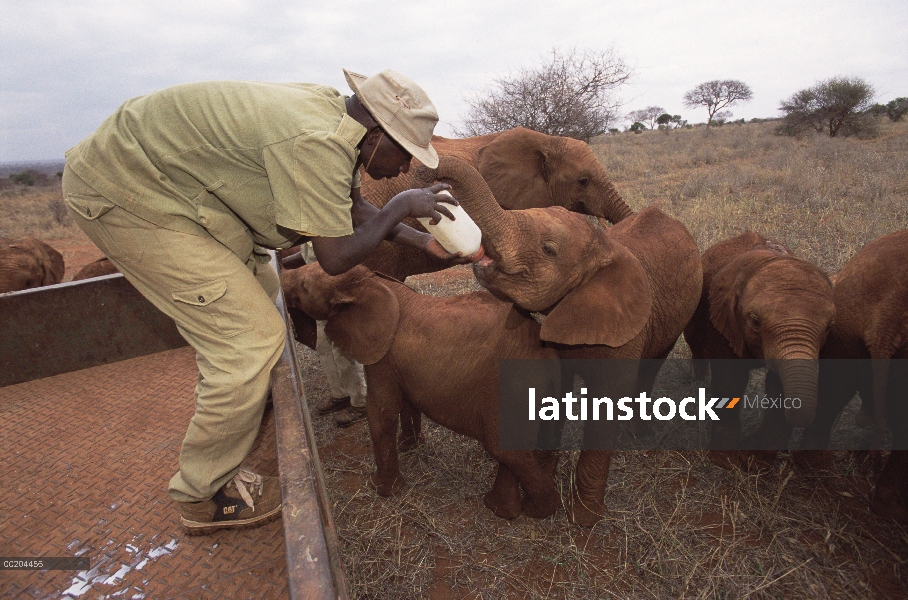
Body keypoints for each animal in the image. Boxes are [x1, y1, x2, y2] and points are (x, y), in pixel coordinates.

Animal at [280, 262, 560, 520]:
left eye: (304, 286)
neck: (371, 281)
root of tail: (546, 353)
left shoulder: (382, 355)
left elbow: (381, 412)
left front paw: (381, 489)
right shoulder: (399, 360)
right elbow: (406, 403)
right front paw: (409, 447)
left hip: (512, 388)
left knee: (505, 450)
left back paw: (533, 511)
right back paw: (501, 509)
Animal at [680, 230, 836, 468]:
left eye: (829, 327)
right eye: (754, 321)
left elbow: (777, 384)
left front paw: (755, 459)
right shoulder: (722, 319)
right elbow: (730, 380)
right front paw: (725, 461)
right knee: (696, 344)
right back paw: (699, 380)